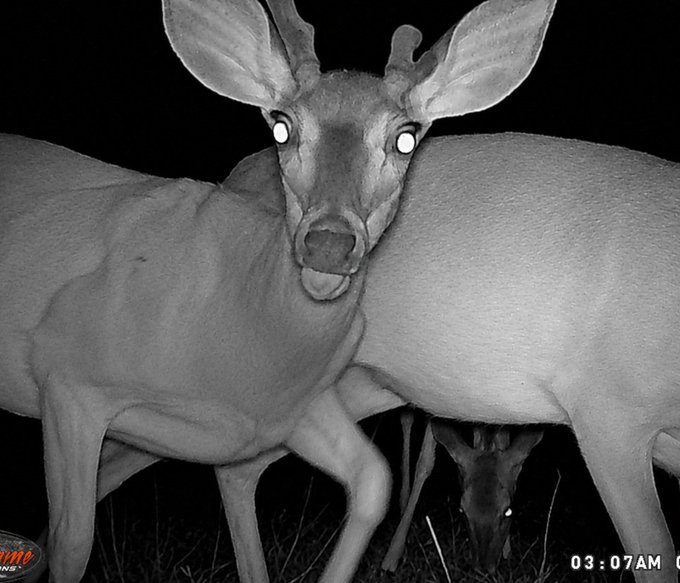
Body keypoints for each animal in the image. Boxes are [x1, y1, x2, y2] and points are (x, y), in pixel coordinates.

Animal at [381, 415, 543, 574]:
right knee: (406, 419)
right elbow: (424, 464)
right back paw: (403, 505)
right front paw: (392, 556)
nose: (483, 568)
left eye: (508, 511)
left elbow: (504, 443)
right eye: (462, 511)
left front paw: (507, 549)